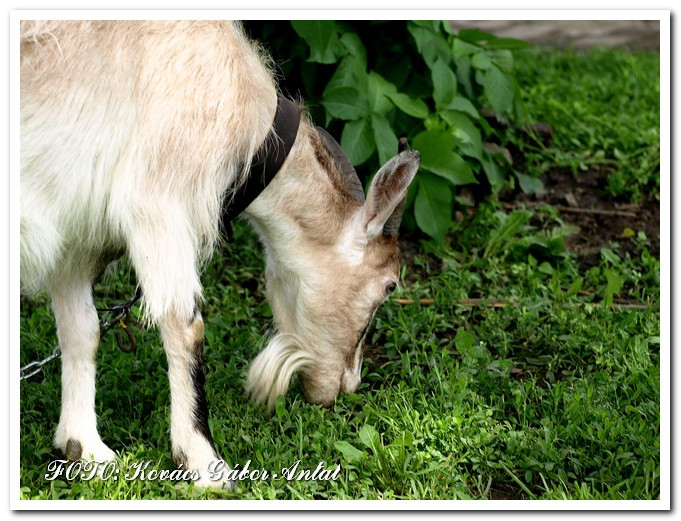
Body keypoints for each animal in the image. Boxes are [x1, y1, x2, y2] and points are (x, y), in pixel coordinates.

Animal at [18, 20, 418, 490]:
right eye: (388, 285)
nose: (346, 386)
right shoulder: (157, 202)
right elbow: (185, 326)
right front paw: (204, 463)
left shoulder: (76, 229)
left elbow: (83, 330)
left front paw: (84, 449)